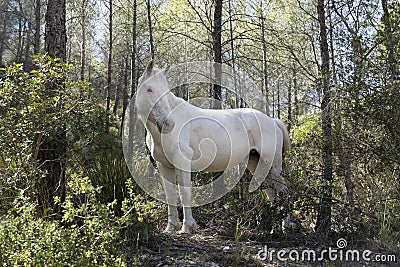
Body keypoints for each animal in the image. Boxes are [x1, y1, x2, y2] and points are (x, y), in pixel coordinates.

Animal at [137, 60, 290, 234]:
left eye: (166, 90)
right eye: (149, 89)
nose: (168, 124)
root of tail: (273, 121)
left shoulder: (182, 162)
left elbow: (184, 193)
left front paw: (187, 227)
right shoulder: (164, 165)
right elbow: (170, 195)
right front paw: (170, 227)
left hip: (271, 164)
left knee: (282, 191)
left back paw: (286, 226)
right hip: (255, 162)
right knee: (271, 192)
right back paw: (274, 228)